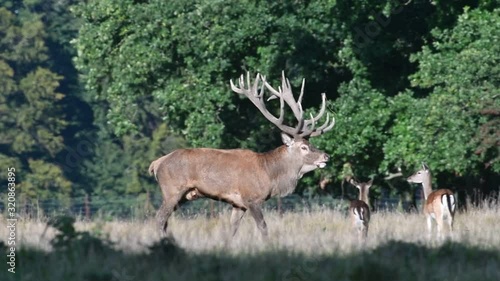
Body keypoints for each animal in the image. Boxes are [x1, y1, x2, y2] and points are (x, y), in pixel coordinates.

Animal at [148, 71, 336, 236]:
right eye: (304, 147)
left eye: (310, 143)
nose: (326, 156)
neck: (269, 174)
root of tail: (156, 164)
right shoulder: (251, 198)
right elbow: (263, 227)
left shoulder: (238, 204)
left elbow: (232, 229)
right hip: (172, 191)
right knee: (159, 219)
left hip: (182, 196)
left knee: (164, 222)